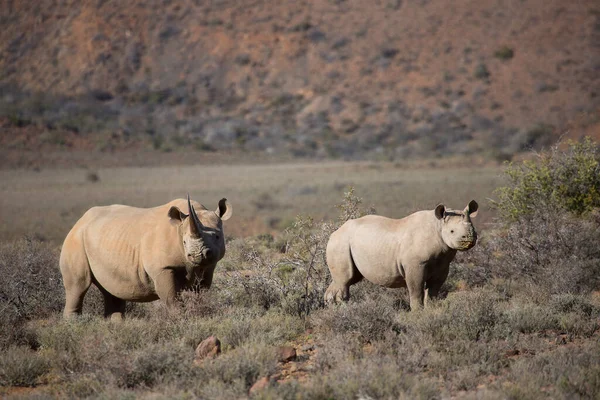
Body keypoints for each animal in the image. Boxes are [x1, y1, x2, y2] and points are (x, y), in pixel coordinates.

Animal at [59, 194, 232, 318]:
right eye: (184, 241)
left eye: (217, 237)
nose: (196, 254)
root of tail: (80, 221)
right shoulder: (162, 268)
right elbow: (172, 299)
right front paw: (180, 318)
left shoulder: (208, 268)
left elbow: (201, 293)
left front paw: (199, 312)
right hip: (76, 240)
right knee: (77, 286)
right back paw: (74, 324)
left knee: (111, 293)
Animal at [324, 202, 478, 310]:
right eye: (452, 231)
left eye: (474, 229)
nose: (470, 238)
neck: (438, 226)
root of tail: (334, 232)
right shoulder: (415, 265)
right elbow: (416, 291)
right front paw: (417, 313)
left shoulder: (443, 265)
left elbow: (433, 291)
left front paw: (432, 310)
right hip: (340, 243)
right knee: (345, 280)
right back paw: (345, 310)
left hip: (344, 243)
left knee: (345, 280)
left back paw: (333, 309)